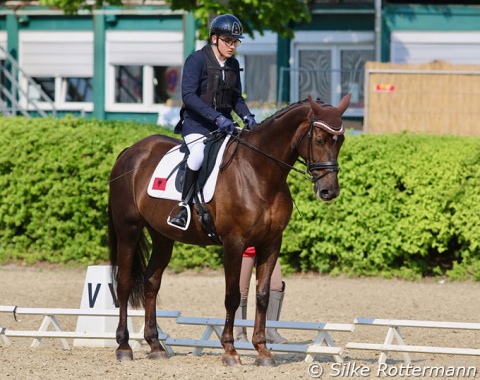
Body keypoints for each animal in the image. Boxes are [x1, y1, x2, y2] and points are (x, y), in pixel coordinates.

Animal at [107, 93, 350, 366]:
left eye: (340, 141)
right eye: (318, 139)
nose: (329, 191)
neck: (260, 172)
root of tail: (130, 151)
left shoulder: (271, 243)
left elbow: (263, 295)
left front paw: (262, 350)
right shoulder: (234, 243)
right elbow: (232, 296)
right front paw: (230, 350)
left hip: (163, 237)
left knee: (151, 283)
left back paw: (155, 345)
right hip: (128, 230)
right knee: (124, 284)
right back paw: (124, 346)